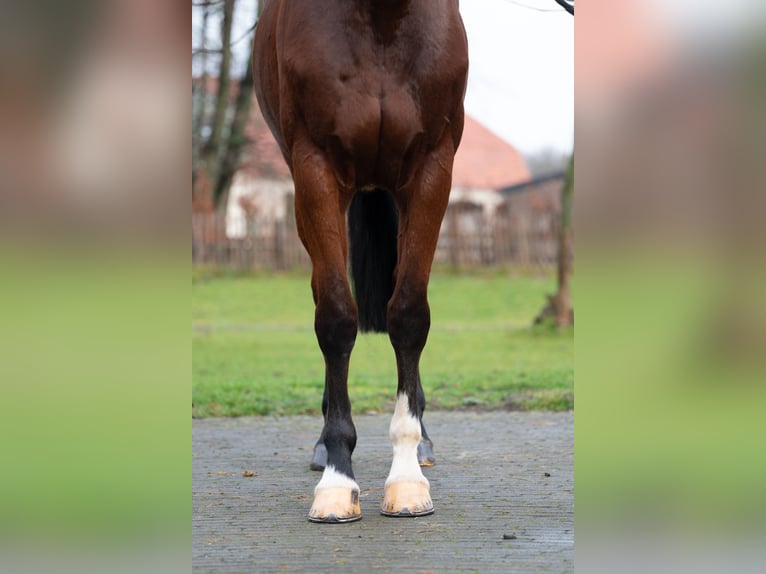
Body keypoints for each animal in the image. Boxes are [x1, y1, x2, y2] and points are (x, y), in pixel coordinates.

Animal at [253, 0, 468, 523]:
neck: (381, 19)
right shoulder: (315, 169)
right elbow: (334, 318)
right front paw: (337, 480)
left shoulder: (432, 169)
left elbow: (408, 315)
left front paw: (407, 480)